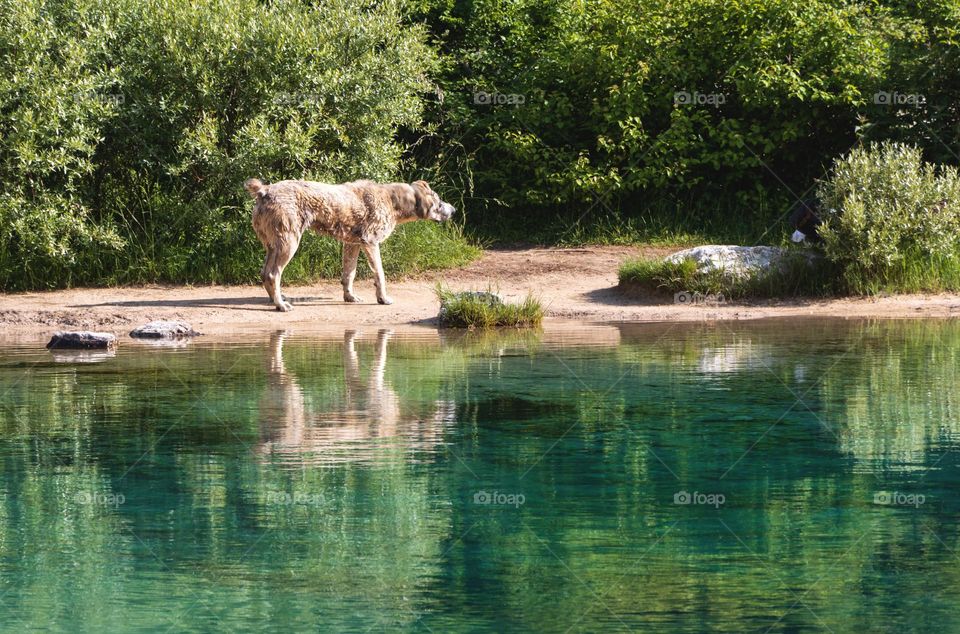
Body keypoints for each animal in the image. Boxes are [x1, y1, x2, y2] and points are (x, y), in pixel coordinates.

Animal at [248, 177, 458, 310]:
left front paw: (350, 297)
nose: (454, 210)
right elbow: (380, 274)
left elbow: (349, 274)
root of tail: (264, 191)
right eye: (439, 202)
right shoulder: (371, 242)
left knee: (265, 273)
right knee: (274, 274)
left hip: (273, 246)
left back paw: (276, 300)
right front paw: (383, 299)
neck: (393, 201)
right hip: (289, 243)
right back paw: (281, 305)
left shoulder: (352, 244)